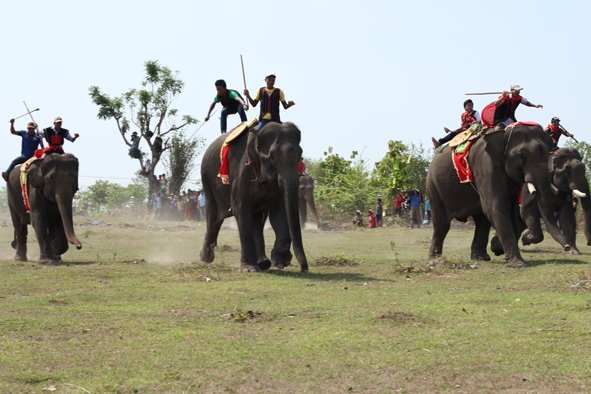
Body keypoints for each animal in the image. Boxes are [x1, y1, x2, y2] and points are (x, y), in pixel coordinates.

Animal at [200, 121, 310, 272]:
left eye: (300, 154)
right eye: (272, 157)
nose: (303, 269)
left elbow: (278, 211)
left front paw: (281, 263)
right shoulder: (241, 170)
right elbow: (241, 209)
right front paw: (248, 269)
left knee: (257, 220)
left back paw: (264, 263)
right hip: (207, 180)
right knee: (214, 217)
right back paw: (205, 259)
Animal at [428, 122, 572, 268]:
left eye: (548, 155)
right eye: (522, 156)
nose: (567, 247)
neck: (503, 133)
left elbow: (512, 211)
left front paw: (498, 248)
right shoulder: (485, 164)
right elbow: (496, 206)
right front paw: (518, 264)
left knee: (482, 221)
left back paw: (480, 258)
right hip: (434, 187)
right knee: (442, 224)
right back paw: (435, 261)